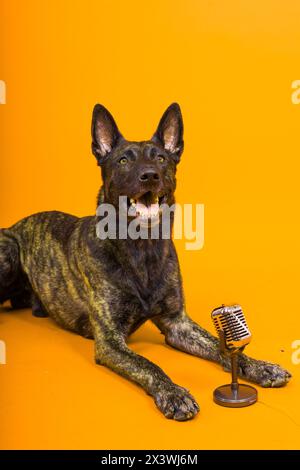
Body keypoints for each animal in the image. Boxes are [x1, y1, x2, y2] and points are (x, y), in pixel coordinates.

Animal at [0, 104, 290, 420]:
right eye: (123, 160)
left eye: (161, 158)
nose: (150, 176)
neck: (142, 249)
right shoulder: (110, 341)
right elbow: (148, 365)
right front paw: (173, 393)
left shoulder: (178, 324)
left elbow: (222, 347)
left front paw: (259, 366)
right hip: (9, 251)